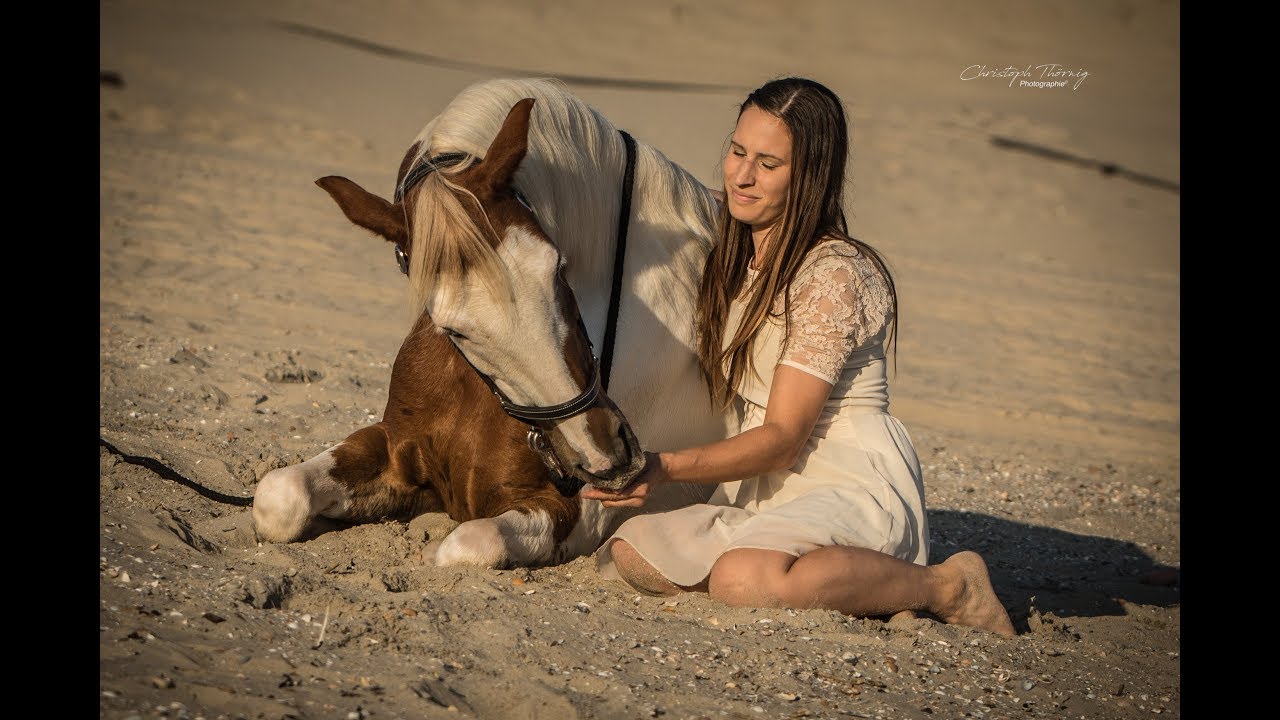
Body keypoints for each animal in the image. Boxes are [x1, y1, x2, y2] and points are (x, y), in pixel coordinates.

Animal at [252, 78, 737, 567]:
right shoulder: (394, 446)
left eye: (558, 267)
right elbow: (279, 494)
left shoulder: (578, 514)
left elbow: (464, 546)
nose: (606, 456)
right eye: (453, 330)